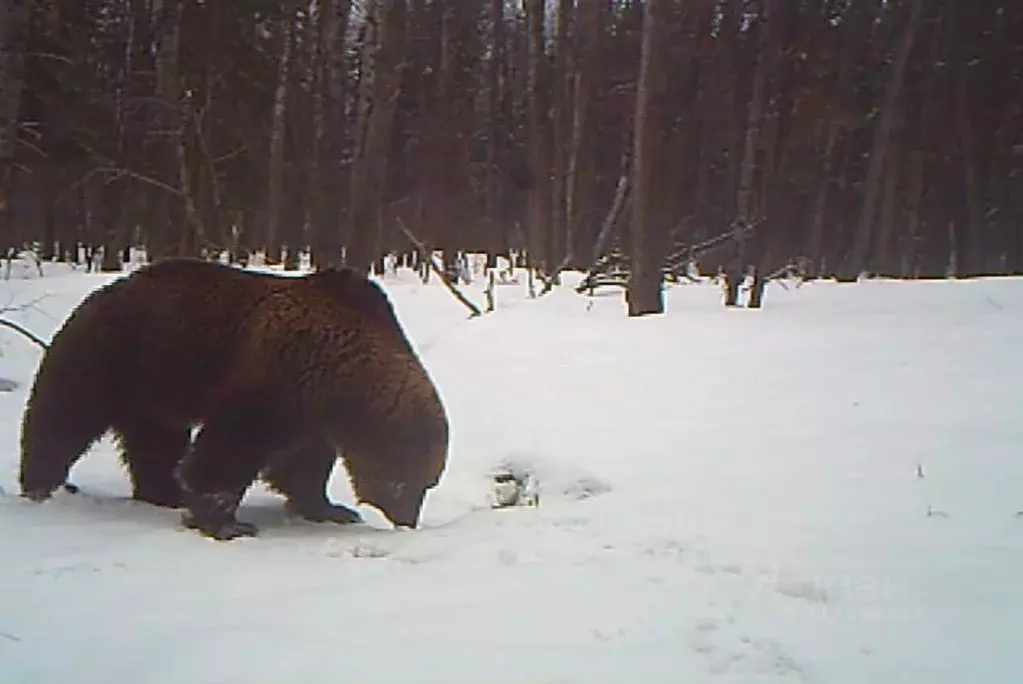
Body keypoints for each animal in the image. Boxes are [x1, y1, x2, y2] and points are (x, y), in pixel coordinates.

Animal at [18, 255, 450, 539]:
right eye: (417, 482)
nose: (408, 521)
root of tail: (103, 292)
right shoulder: (273, 379)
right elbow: (230, 449)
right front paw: (227, 521)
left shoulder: (309, 410)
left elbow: (302, 465)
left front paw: (332, 509)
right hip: (112, 357)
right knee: (62, 418)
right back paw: (40, 487)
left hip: (154, 386)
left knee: (154, 442)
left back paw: (163, 493)